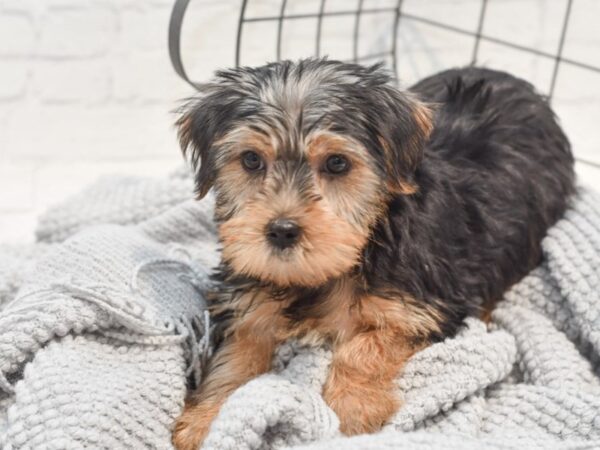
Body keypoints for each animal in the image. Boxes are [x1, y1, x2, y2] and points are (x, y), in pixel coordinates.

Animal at [171, 59, 576, 450]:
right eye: (251, 160)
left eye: (337, 163)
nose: (282, 230)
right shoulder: (249, 300)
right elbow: (235, 356)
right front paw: (207, 420)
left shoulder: (421, 306)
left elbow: (367, 345)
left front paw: (354, 406)